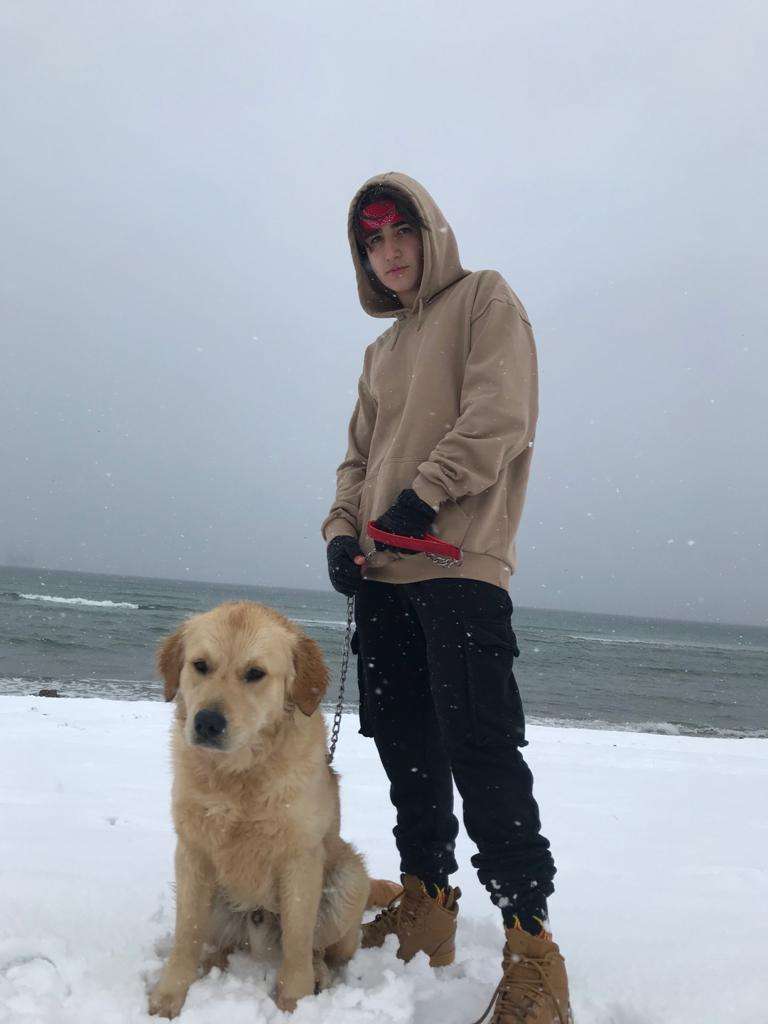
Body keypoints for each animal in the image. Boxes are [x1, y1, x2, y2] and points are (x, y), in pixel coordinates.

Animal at [148, 600, 392, 1017]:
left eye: (255, 673)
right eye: (200, 665)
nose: (207, 722)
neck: (240, 775)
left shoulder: (299, 858)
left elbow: (297, 941)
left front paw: (295, 1001)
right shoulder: (192, 851)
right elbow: (186, 932)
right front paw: (170, 995)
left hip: (348, 879)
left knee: (320, 949)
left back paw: (319, 975)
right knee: (220, 942)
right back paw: (212, 963)